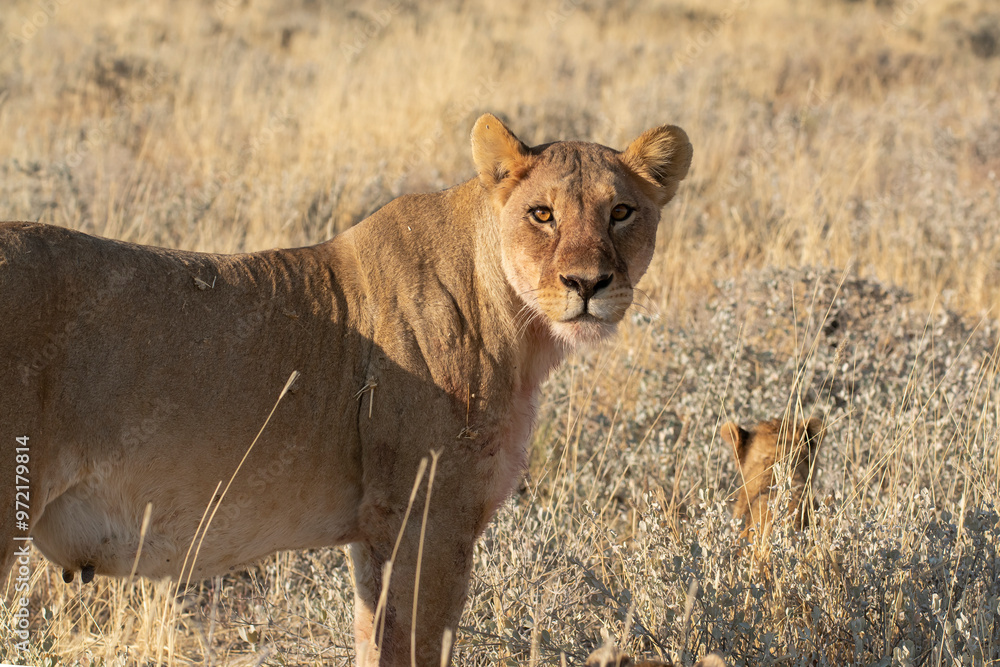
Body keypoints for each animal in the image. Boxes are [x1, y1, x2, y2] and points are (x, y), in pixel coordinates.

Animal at [0, 113, 691, 665]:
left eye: (621, 212)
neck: (520, 329)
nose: (588, 284)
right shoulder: (429, 519)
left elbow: (374, 644)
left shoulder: (375, 532)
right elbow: (418, 650)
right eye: (542, 214)